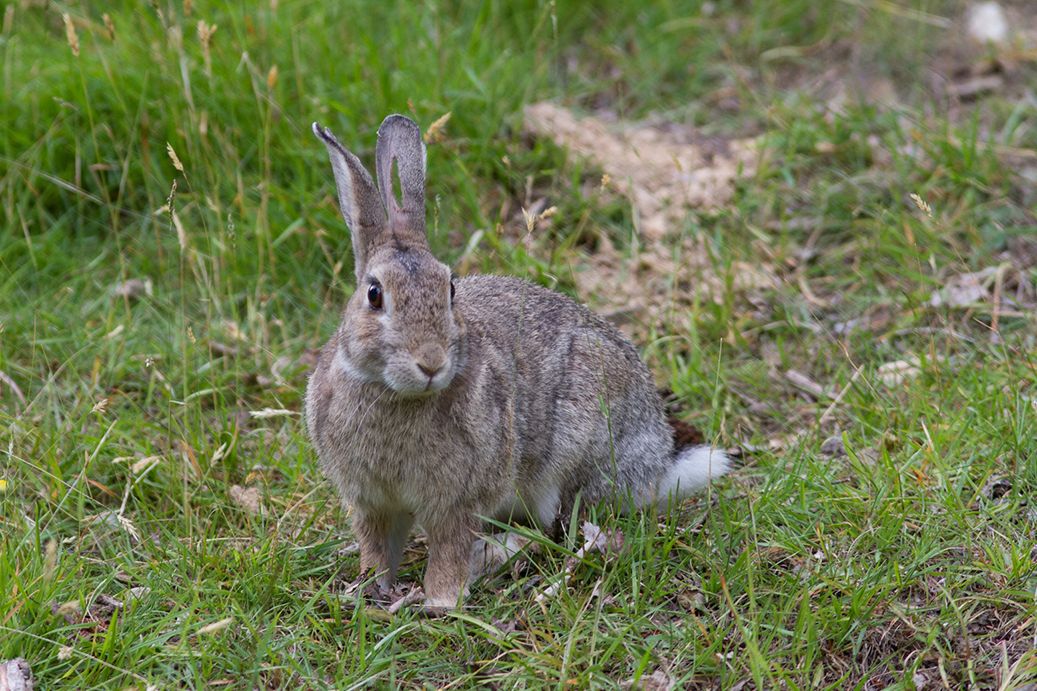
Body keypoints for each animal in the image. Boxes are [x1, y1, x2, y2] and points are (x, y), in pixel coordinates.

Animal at [306, 114, 729, 609]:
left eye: (450, 289)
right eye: (374, 295)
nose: (431, 362)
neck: (394, 395)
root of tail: (657, 467)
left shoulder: (460, 498)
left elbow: (449, 549)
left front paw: (440, 601)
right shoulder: (372, 500)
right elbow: (376, 546)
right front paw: (368, 590)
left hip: (572, 454)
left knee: (555, 531)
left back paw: (492, 557)